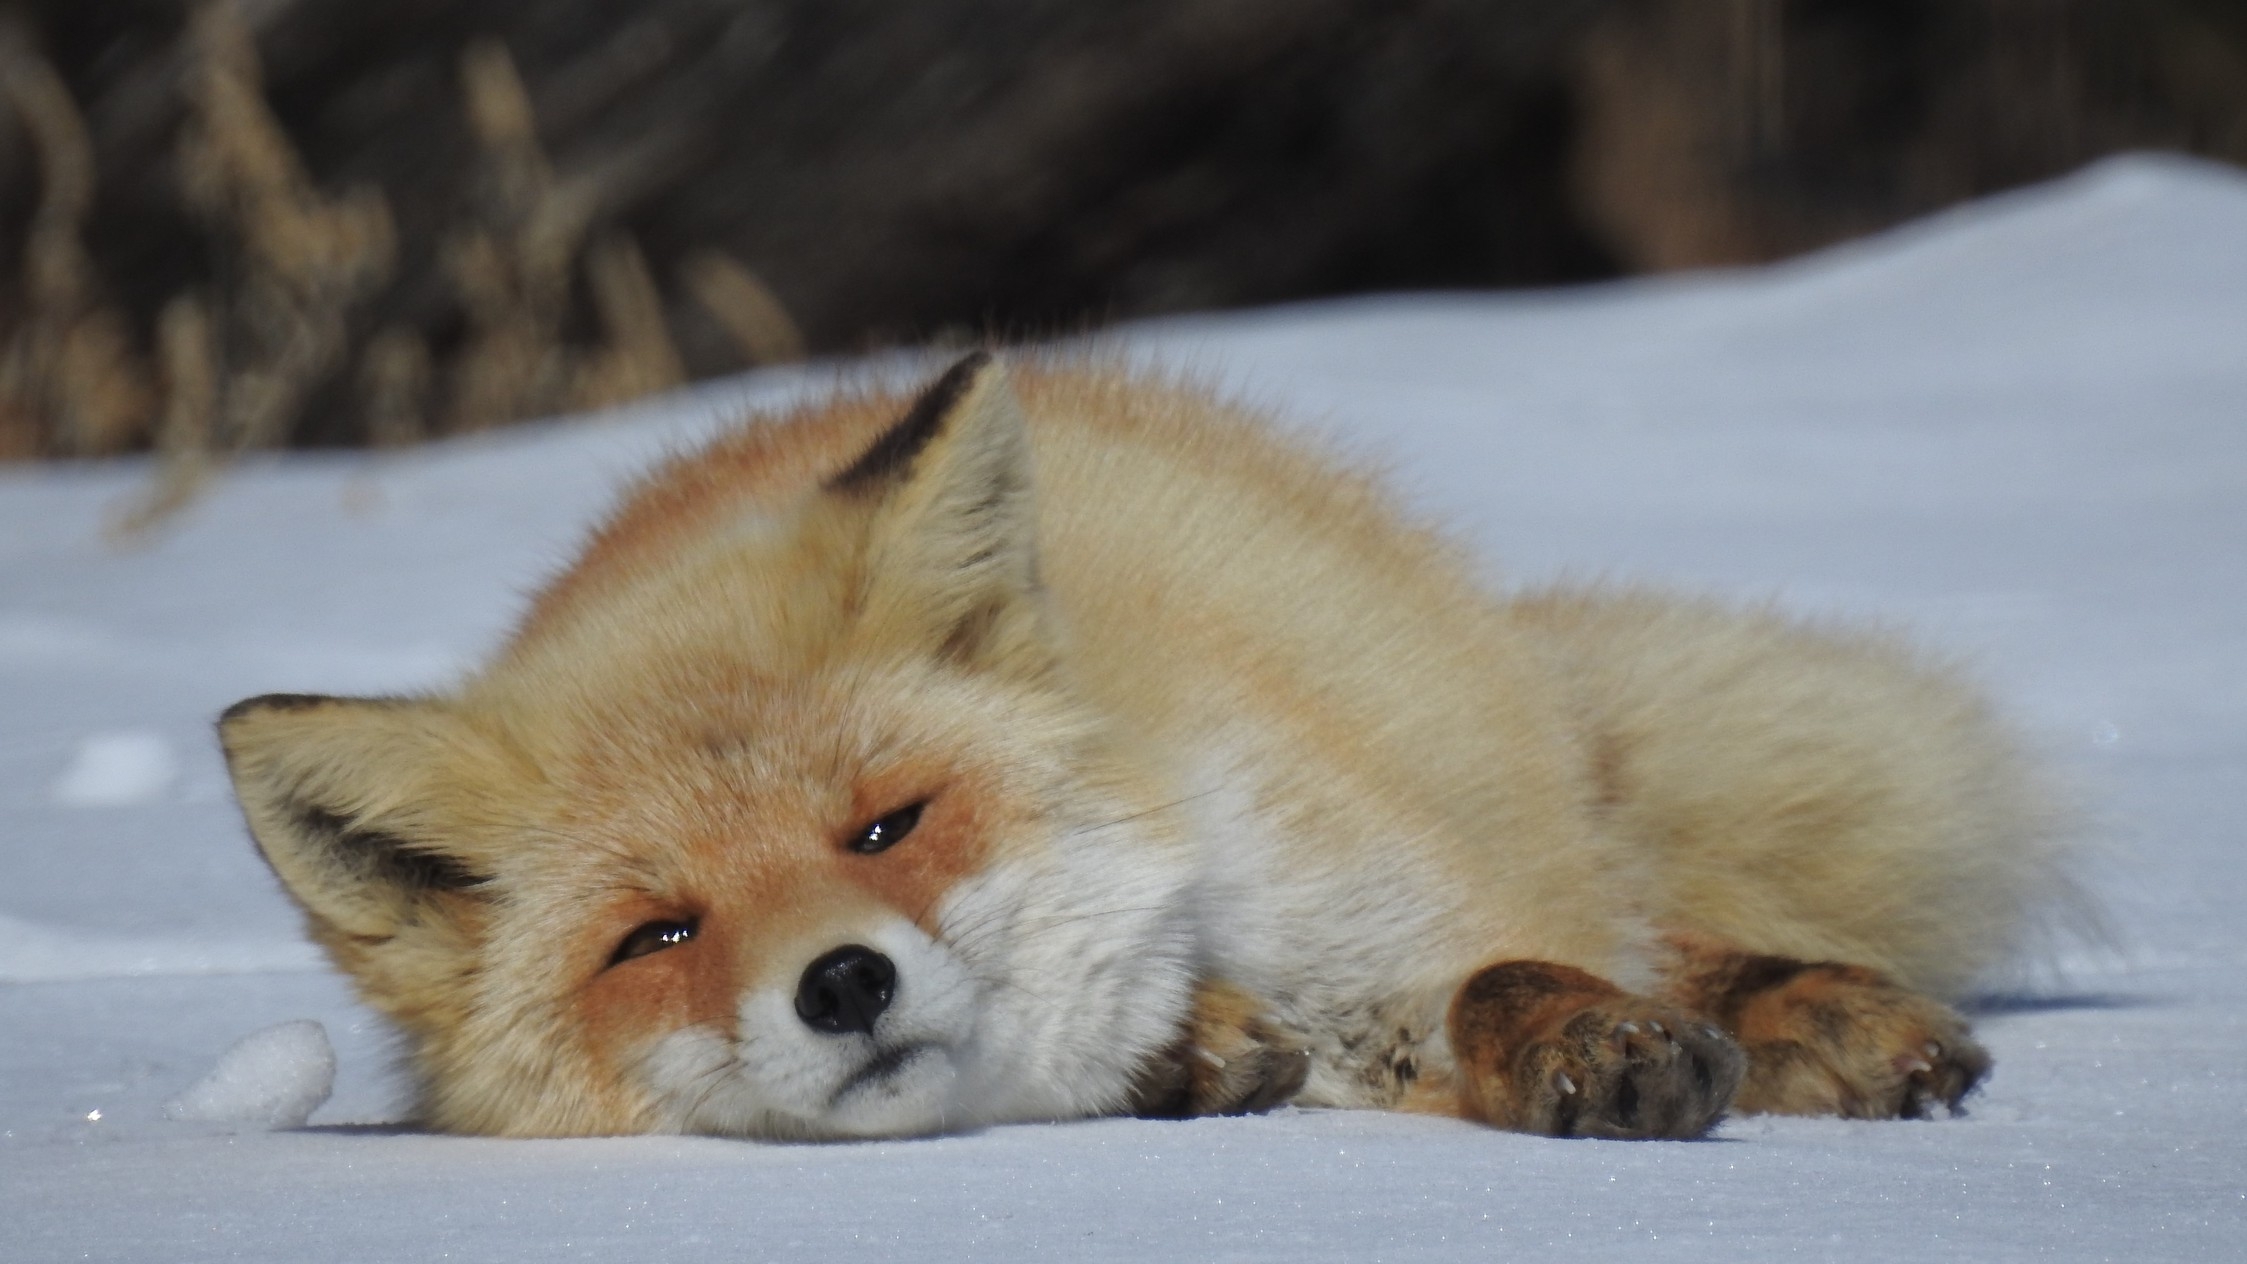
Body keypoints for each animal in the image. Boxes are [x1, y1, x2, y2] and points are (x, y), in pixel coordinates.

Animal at [219, 350, 2058, 1140]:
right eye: (655, 935)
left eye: (886, 826)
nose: (841, 983)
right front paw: (1195, 1052)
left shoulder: (1342, 883)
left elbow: (1494, 972)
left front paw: (1589, 1040)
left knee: (1638, 914)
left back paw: (1819, 1017)